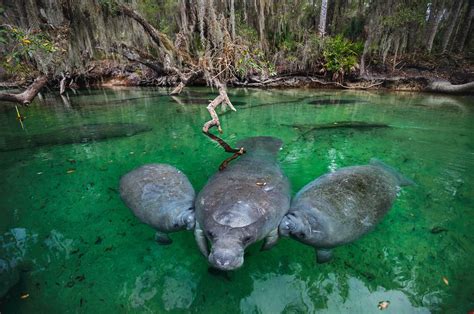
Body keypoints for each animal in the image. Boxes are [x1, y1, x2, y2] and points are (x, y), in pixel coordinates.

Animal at [194, 136, 290, 272]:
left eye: (247, 238)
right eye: (210, 234)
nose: (223, 262)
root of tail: (260, 147)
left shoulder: (273, 222)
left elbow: (272, 239)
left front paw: (263, 249)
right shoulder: (199, 217)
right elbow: (199, 238)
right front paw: (204, 252)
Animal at [280, 159, 412, 262]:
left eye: (302, 235)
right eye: (292, 213)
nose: (288, 225)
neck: (314, 220)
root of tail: (391, 173)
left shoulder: (324, 245)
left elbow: (324, 257)